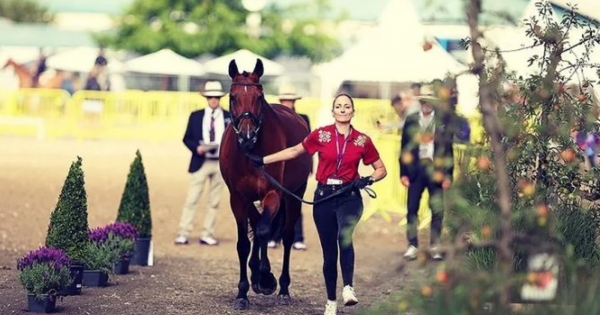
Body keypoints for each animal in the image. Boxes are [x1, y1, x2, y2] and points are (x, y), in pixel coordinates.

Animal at [218, 58, 312, 310]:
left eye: (259, 97)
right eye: (232, 96)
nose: (247, 136)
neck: (251, 155)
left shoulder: (273, 193)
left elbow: (263, 231)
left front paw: (266, 279)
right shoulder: (238, 197)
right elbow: (244, 242)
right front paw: (243, 293)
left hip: (294, 195)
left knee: (285, 236)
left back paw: (282, 287)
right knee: (257, 223)